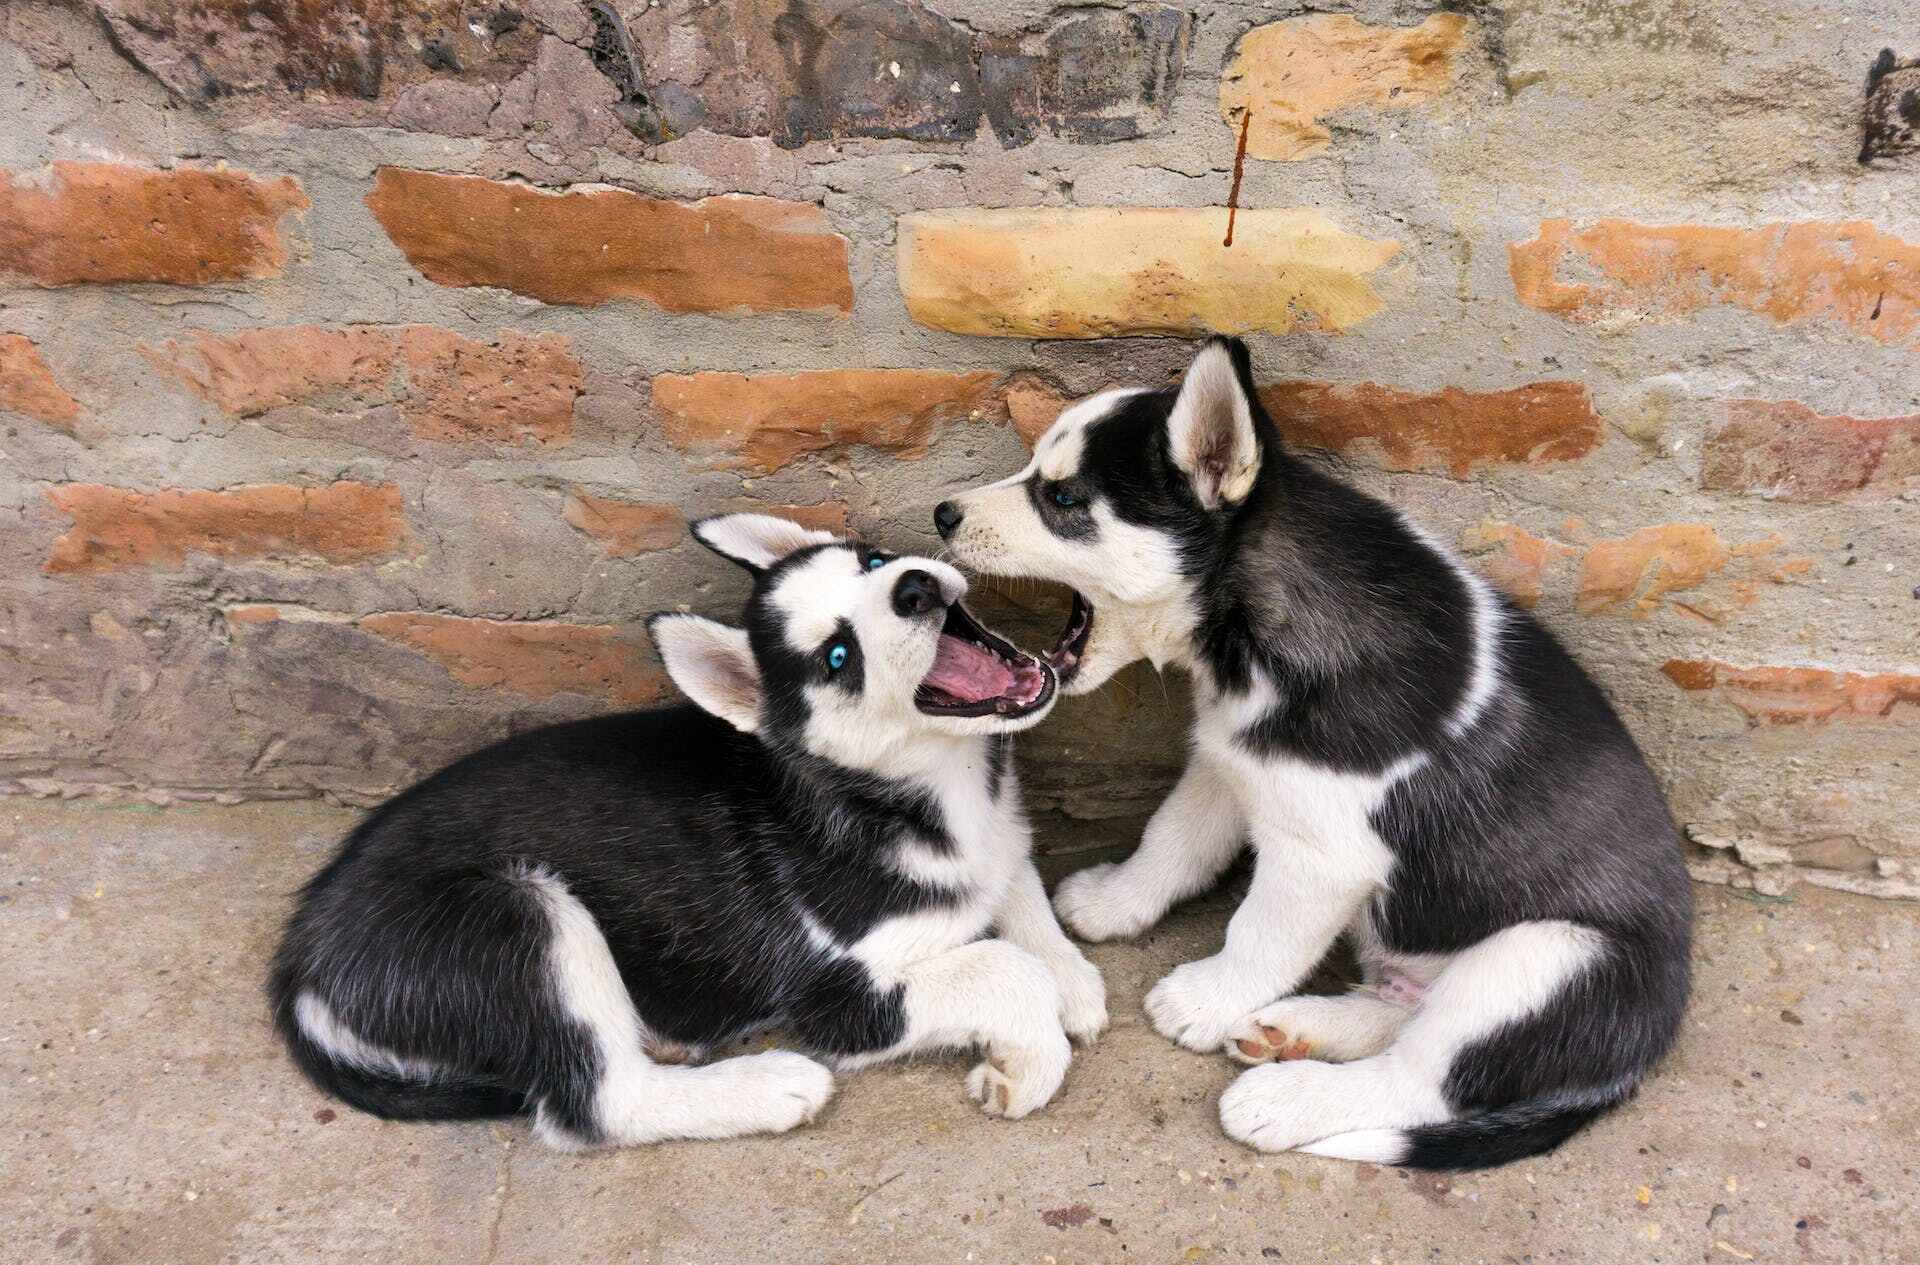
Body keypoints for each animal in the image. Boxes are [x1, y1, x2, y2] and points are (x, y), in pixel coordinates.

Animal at [272, 510, 1113, 1151]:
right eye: (839, 656)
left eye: (872, 561)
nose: (914, 586)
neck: (922, 787)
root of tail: (299, 960)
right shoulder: (835, 998)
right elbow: (1003, 967)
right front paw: (1028, 1059)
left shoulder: (997, 842)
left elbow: (1016, 890)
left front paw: (1070, 980)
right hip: (523, 916)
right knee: (596, 1103)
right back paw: (767, 1085)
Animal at [936, 341, 1689, 1174]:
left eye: (1063, 498)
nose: (943, 513)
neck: (1249, 630)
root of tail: (1642, 1050)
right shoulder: (1230, 759)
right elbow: (1173, 841)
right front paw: (1114, 900)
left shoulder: (1322, 854)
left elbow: (1259, 931)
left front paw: (1203, 999)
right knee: (1401, 1015)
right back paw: (1290, 1029)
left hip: (1543, 959)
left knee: (1419, 1080)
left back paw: (1282, 1096)